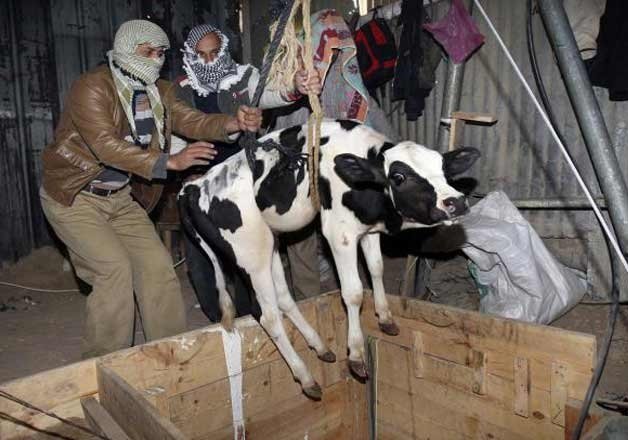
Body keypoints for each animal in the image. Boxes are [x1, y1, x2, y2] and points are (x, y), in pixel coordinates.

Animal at [179, 119, 478, 398]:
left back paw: (320, 347)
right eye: (399, 176)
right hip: (251, 255)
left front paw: (385, 317)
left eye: (443, 168)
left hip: (269, 244)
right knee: (268, 316)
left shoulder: (368, 230)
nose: (456, 201)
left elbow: (376, 269)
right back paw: (305, 377)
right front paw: (356, 354)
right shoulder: (339, 234)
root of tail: (195, 186)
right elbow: (353, 292)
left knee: (284, 299)